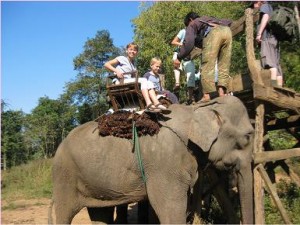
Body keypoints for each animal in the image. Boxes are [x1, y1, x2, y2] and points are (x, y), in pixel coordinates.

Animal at [50, 96, 254, 224]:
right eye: (248, 137)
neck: (197, 108)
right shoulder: (166, 165)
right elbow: (168, 208)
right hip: (64, 176)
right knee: (65, 213)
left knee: (101, 213)